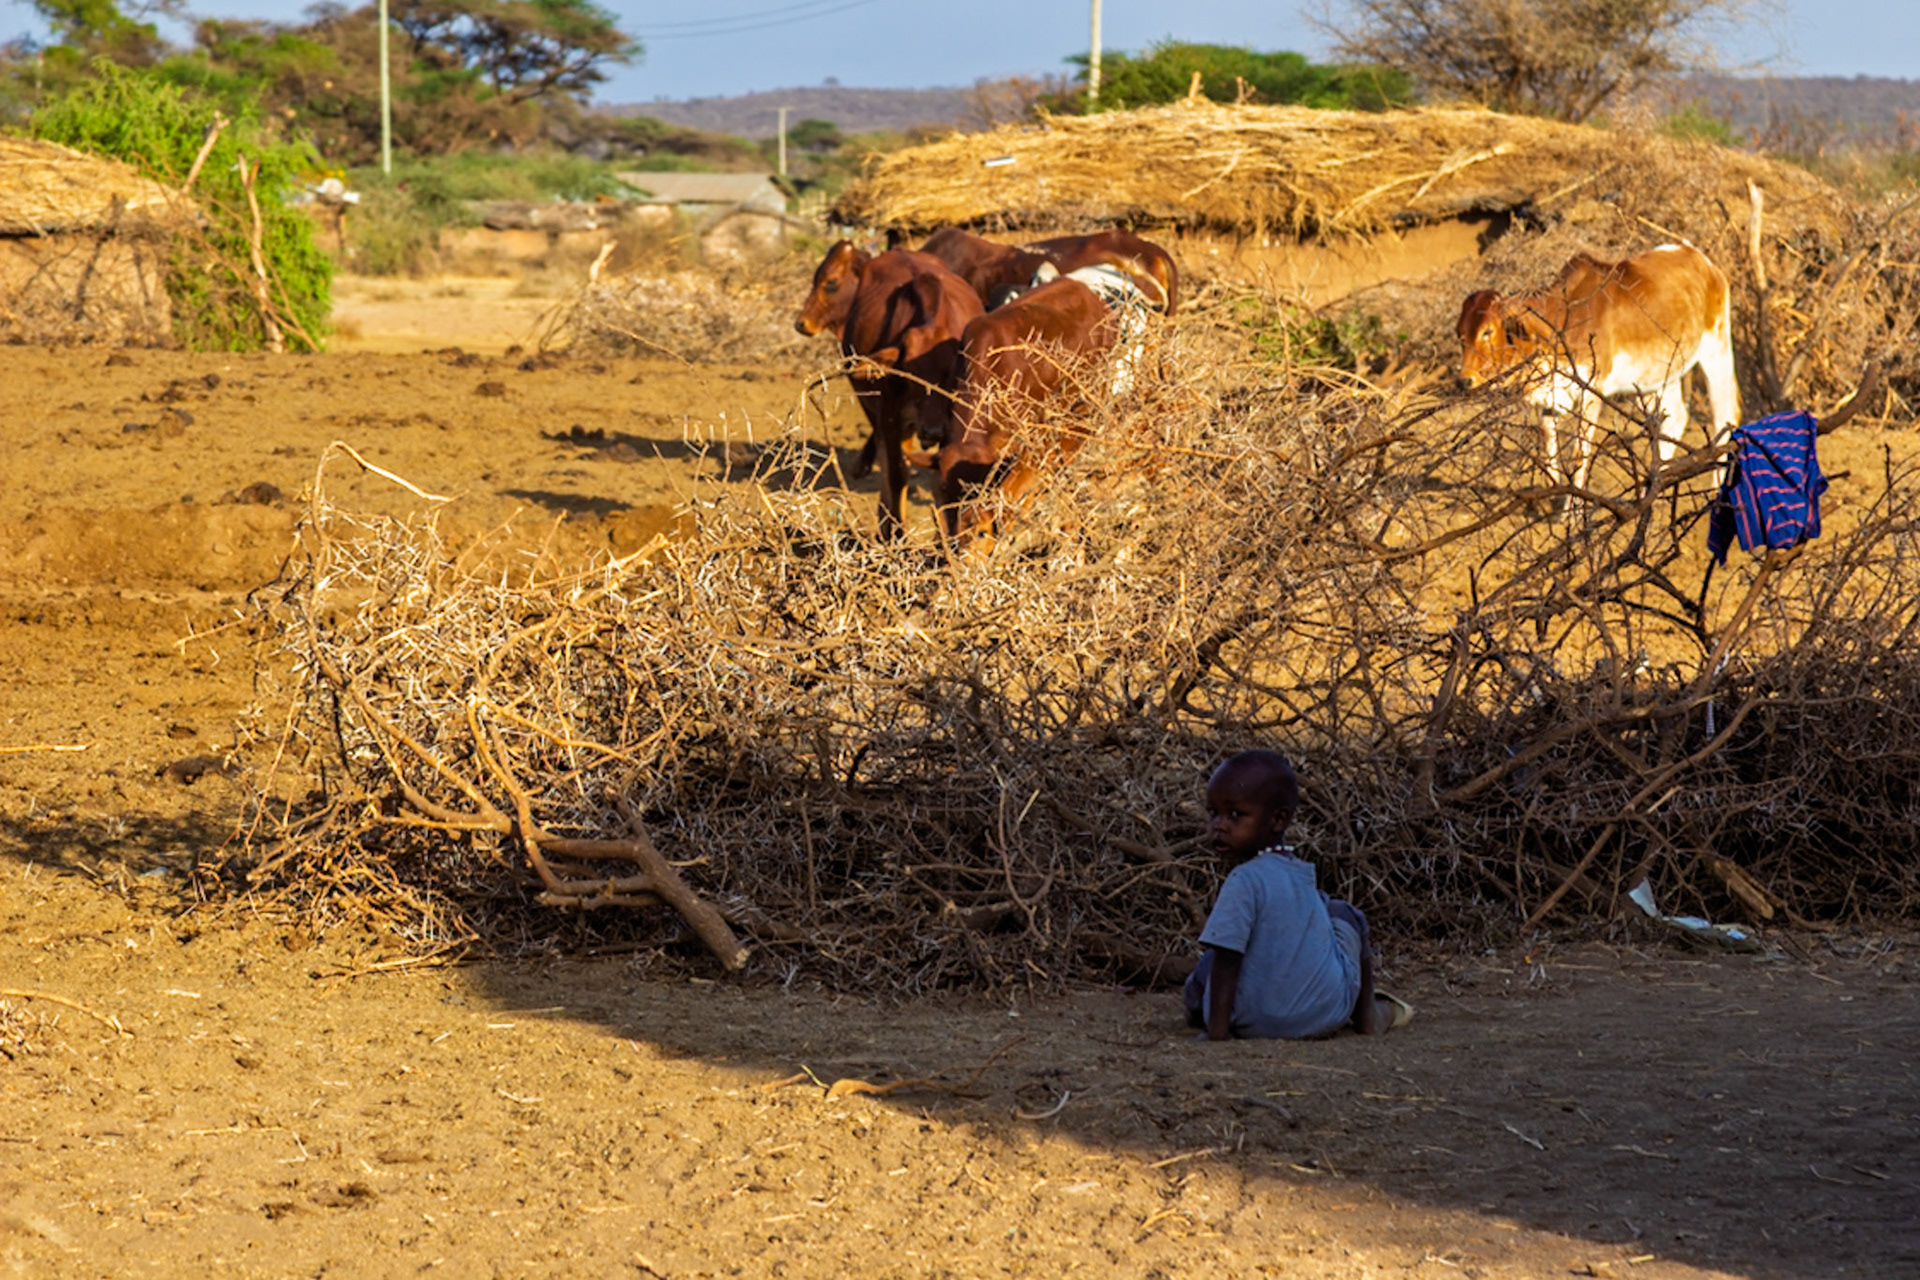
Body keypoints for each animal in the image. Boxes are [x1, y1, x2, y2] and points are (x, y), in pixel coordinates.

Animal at [794, 241, 984, 538]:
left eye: (950, 375)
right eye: (910, 374)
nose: (932, 432)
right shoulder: (889, 415)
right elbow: (896, 474)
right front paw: (896, 534)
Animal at [1456, 242, 1740, 497]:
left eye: (1487, 331)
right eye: (1460, 333)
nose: (1464, 381)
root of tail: (1700, 259)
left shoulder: (1591, 393)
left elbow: (1579, 456)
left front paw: (1573, 513)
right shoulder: (1551, 397)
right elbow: (1549, 446)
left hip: (1717, 351)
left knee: (1725, 416)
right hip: (1660, 375)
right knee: (1675, 419)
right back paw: (1653, 487)